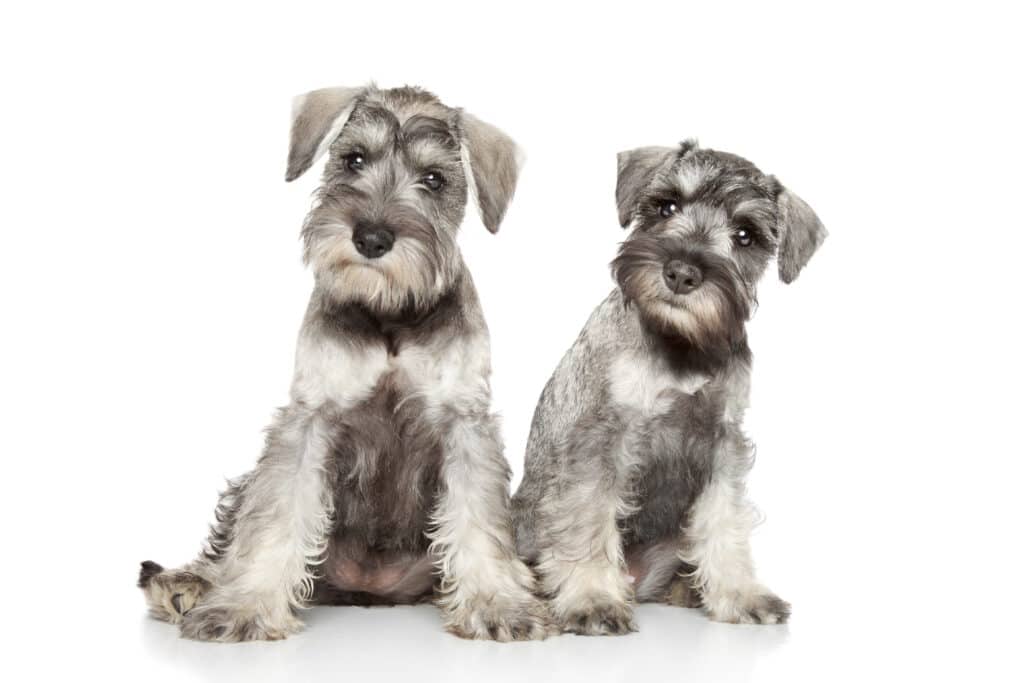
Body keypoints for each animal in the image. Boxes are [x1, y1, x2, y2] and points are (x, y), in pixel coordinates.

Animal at [142, 83, 552, 643]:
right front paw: (246, 607)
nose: (372, 238)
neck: (389, 312)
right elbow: (275, 516)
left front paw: (497, 603)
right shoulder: (310, 419)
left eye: (434, 179)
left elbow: (477, 519)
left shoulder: (464, 423)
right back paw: (184, 585)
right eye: (354, 159)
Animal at [512, 141, 823, 638]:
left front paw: (741, 594)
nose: (681, 272)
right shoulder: (599, 438)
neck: (682, 345)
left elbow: (724, 521)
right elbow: (587, 518)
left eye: (745, 234)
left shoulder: (723, 441)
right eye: (667, 206)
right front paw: (593, 598)